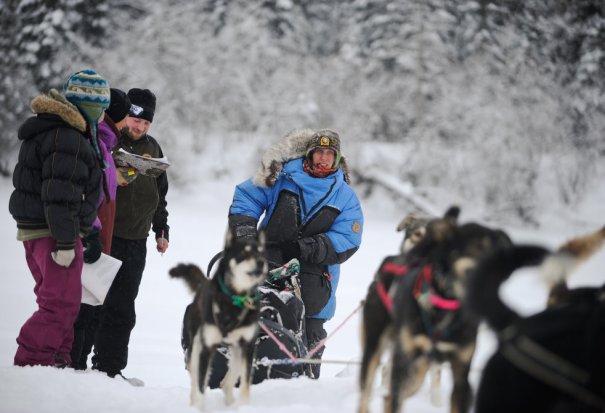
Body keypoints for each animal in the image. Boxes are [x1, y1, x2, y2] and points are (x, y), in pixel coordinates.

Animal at [169, 230, 266, 410]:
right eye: (243, 253)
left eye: (261, 253)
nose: (261, 262)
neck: (235, 301)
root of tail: (203, 285)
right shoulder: (206, 348)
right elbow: (201, 387)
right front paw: (200, 409)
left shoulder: (248, 346)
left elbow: (245, 384)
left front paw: (245, 406)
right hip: (195, 349)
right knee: (196, 382)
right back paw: (193, 404)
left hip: (237, 352)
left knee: (226, 383)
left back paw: (231, 403)